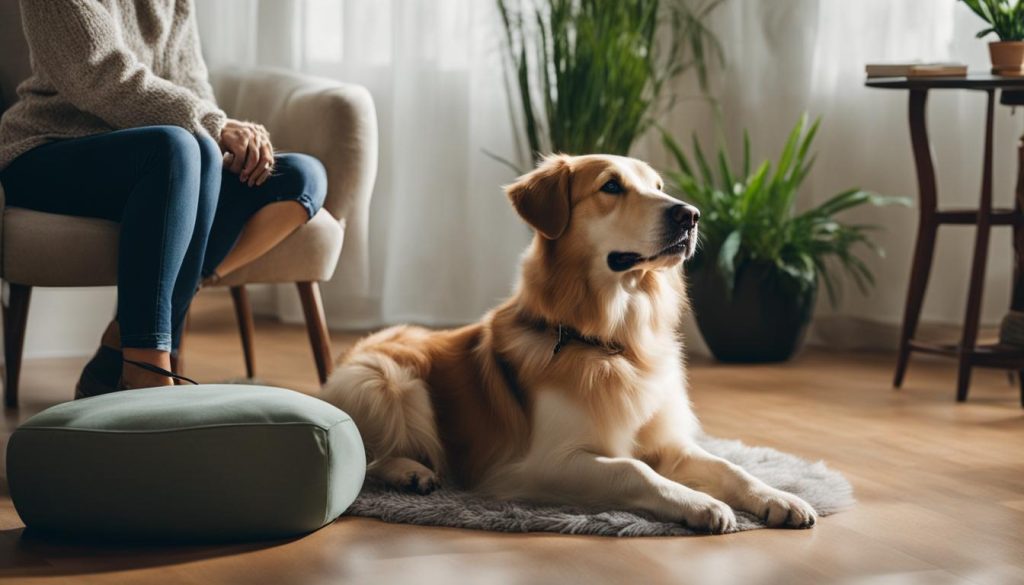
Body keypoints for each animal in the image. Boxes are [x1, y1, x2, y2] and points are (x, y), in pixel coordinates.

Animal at [319, 153, 815, 532]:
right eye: (611, 186)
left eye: (658, 186)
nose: (690, 214)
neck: (612, 341)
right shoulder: (539, 465)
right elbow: (635, 470)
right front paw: (703, 504)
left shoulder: (669, 442)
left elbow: (728, 466)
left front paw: (779, 498)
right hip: (388, 381)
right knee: (365, 456)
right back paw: (412, 472)